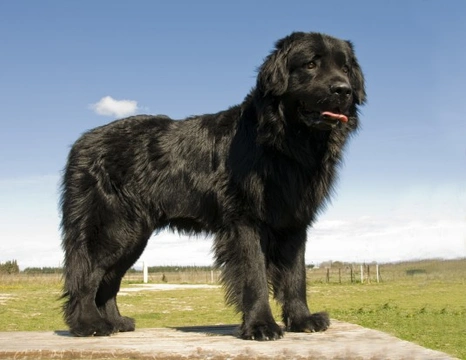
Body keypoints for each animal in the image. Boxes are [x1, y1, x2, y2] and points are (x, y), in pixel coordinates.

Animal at [61, 31, 364, 340]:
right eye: (311, 64)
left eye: (345, 68)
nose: (343, 90)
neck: (283, 142)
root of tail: (81, 143)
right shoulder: (244, 221)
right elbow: (254, 275)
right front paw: (261, 326)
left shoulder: (293, 222)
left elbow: (295, 276)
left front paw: (303, 320)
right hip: (113, 228)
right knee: (87, 275)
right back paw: (90, 325)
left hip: (135, 236)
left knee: (109, 281)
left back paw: (116, 323)